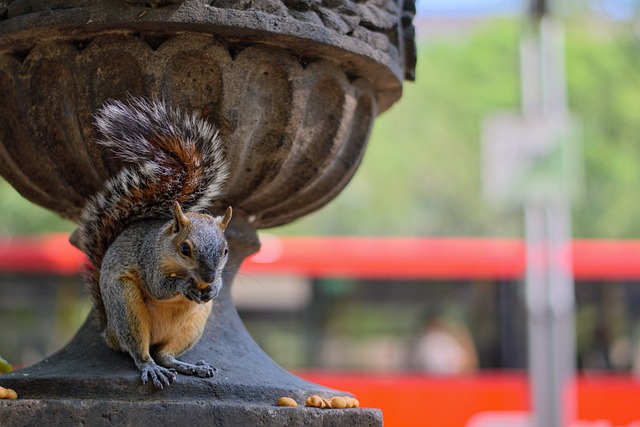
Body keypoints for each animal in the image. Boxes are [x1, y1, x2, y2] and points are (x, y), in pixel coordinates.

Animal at [72, 98, 232, 392]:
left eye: (226, 250)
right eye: (185, 248)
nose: (208, 277)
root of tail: (110, 332)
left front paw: (215, 287)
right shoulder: (149, 260)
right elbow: (158, 286)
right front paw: (183, 286)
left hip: (193, 324)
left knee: (166, 355)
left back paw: (191, 366)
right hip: (126, 306)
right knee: (141, 352)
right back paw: (151, 368)